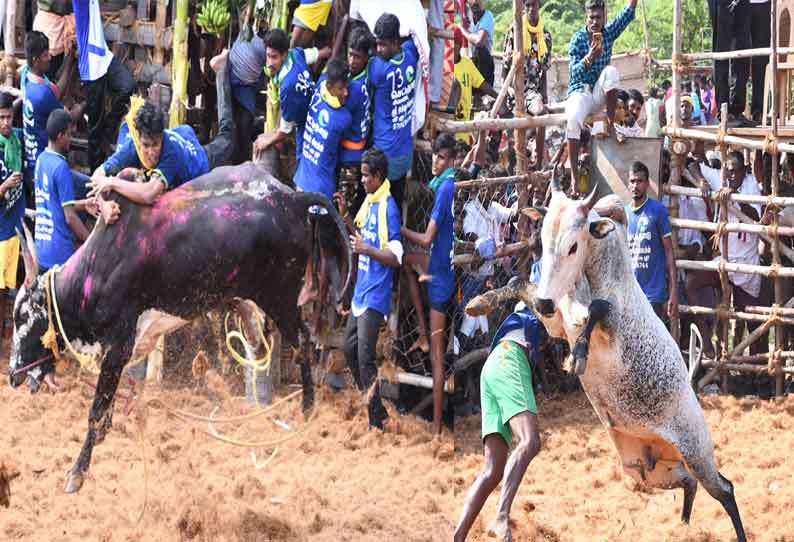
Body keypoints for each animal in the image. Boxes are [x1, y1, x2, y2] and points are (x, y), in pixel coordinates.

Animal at [6, 162, 350, 492]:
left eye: (23, 316)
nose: (12, 375)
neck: (95, 269)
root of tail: (293, 199)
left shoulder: (118, 345)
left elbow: (96, 412)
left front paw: (77, 473)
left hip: (280, 298)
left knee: (304, 342)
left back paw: (306, 410)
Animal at [528, 186, 744, 540]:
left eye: (573, 246)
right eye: (543, 243)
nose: (544, 301)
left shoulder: (614, 327)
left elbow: (599, 308)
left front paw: (579, 357)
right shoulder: (557, 323)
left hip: (697, 452)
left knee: (724, 489)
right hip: (648, 471)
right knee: (689, 483)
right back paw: (682, 526)